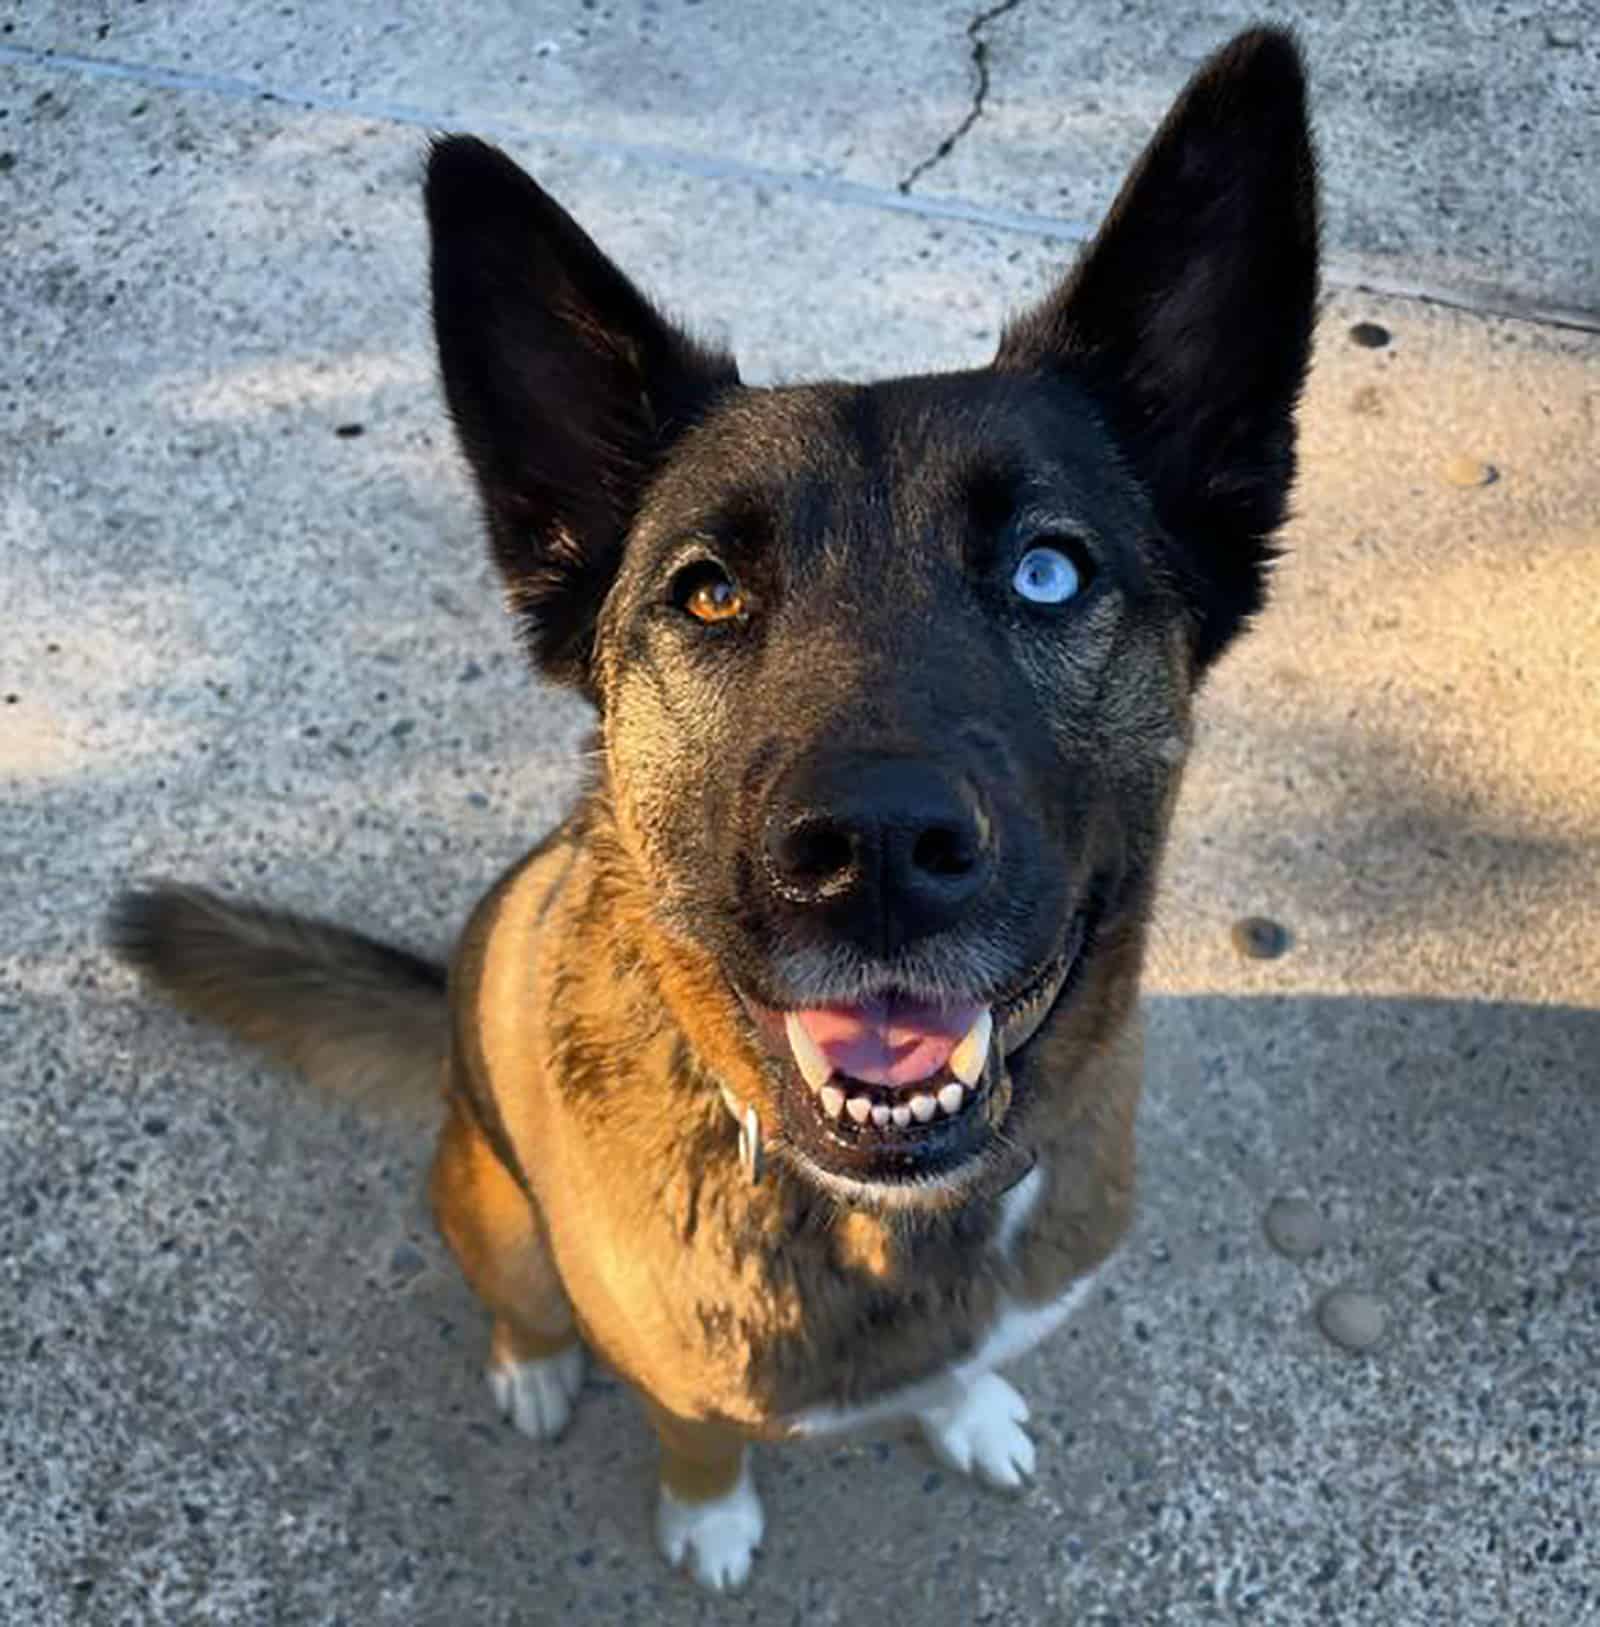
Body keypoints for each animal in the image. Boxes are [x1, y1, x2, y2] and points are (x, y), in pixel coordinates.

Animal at [109, 28, 1315, 1587]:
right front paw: (709, 1515)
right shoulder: (673, 1370)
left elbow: (968, 1364)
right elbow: (696, 1435)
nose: (874, 854)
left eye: (1048, 572)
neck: (878, 1214)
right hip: (487, 1206)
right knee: (520, 1295)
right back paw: (532, 1361)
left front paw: (966, 1404)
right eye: (710, 591)